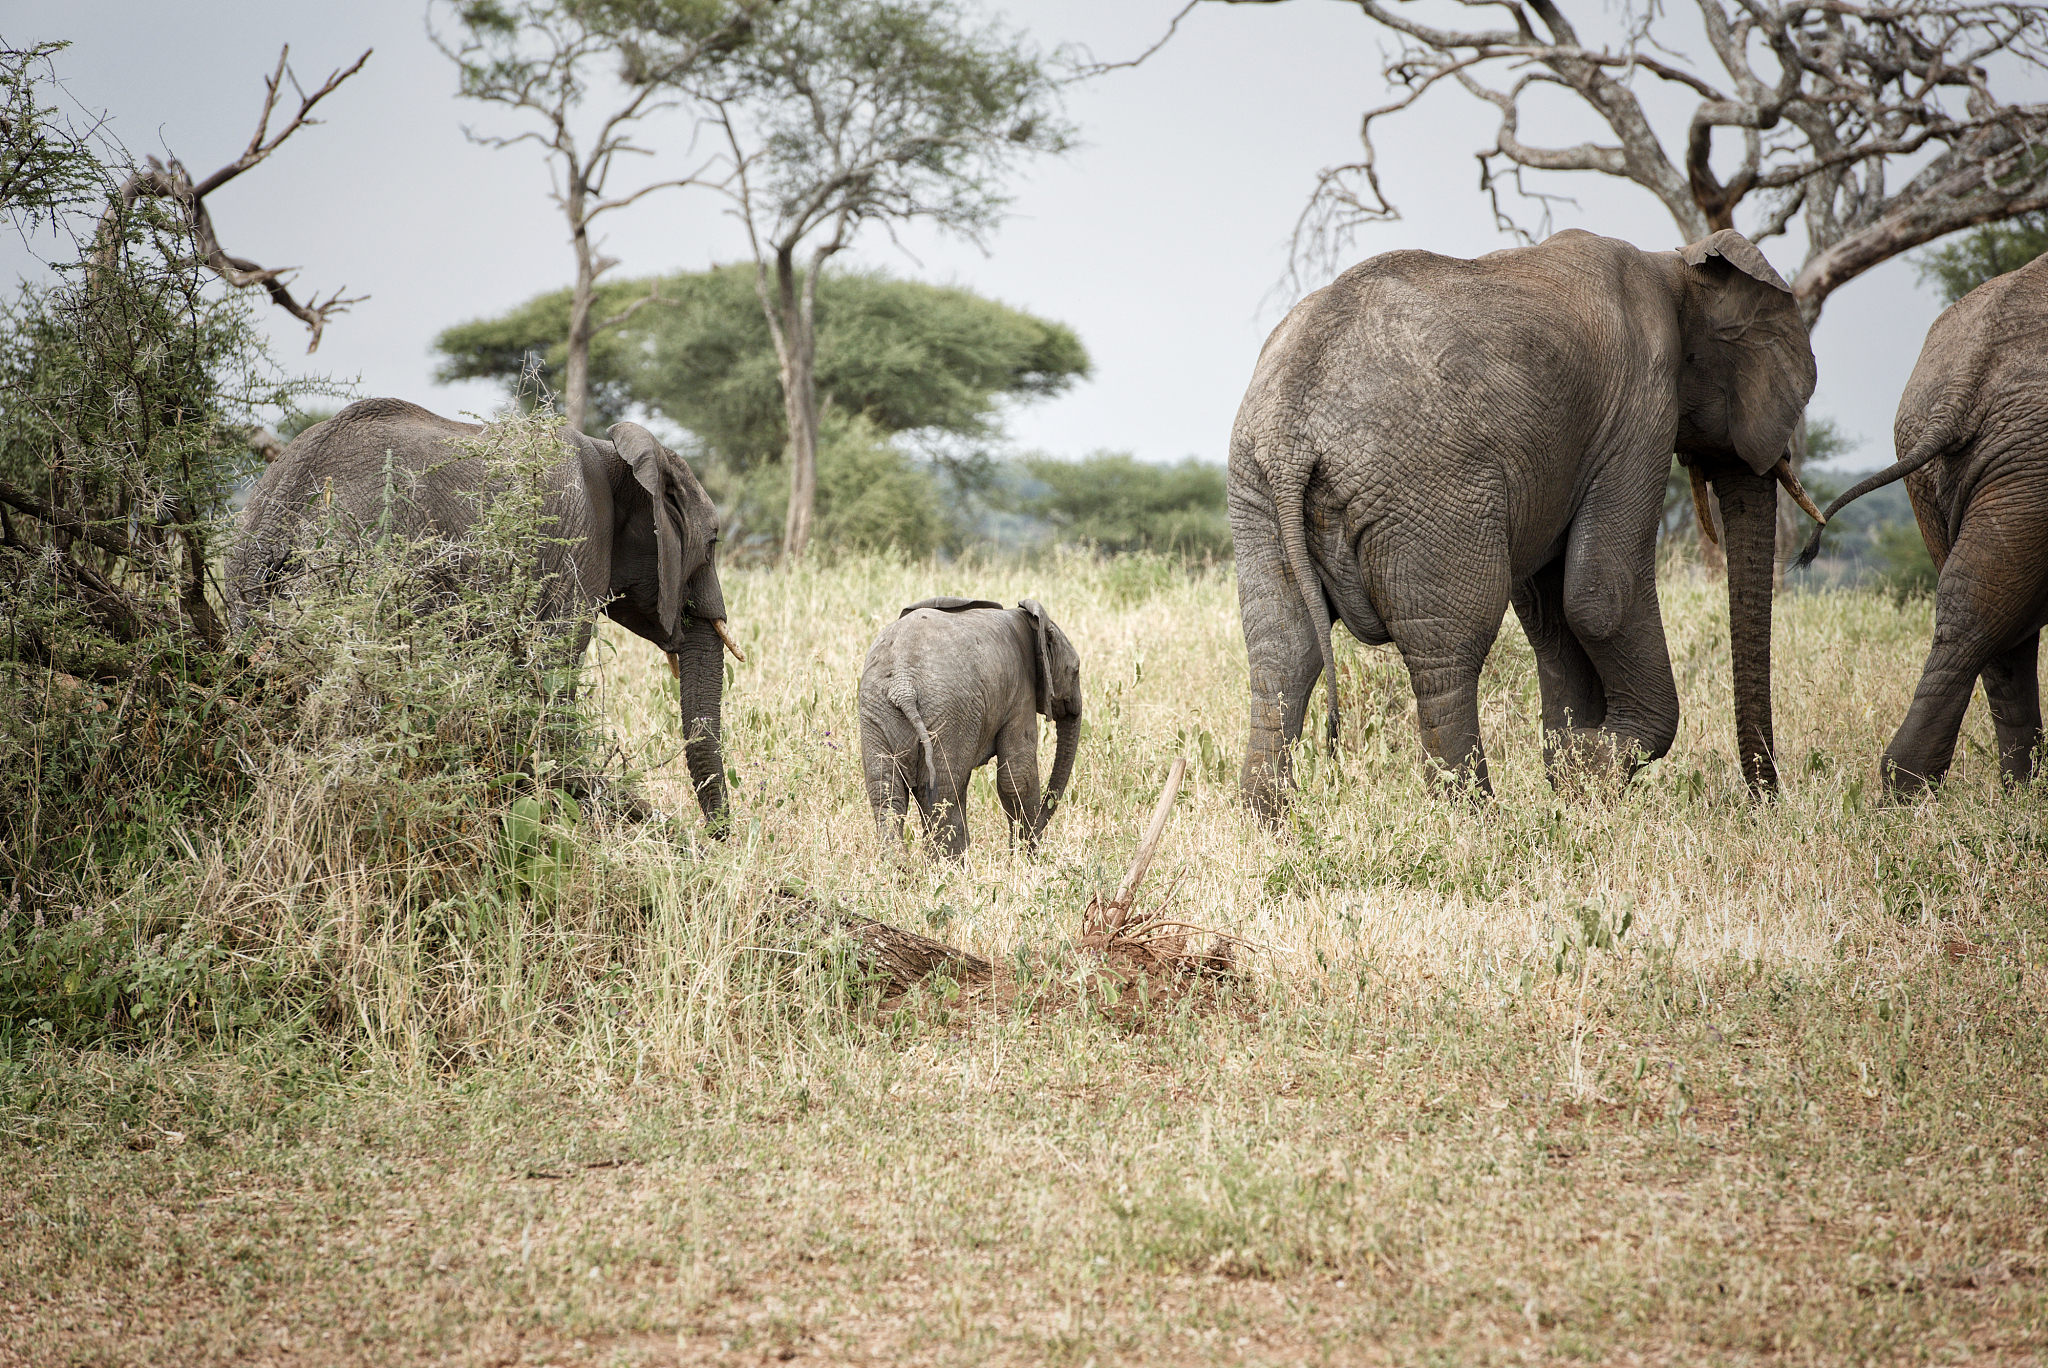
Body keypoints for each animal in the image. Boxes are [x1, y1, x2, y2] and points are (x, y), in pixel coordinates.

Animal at [858, 597, 1082, 857]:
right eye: (1075, 670)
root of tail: (902, 686)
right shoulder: (1020, 696)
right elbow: (1018, 777)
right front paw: (1028, 860)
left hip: (876, 713)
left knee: (887, 793)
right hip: (948, 713)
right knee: (942, 792)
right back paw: (946, 867)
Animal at [1230, 228, 1821, 817]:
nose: (1764, 803)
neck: (1674, 267)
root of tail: (1290, 434)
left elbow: (1550, 613)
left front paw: (1574, 781)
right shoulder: (1642, 408)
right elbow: (1600, 596)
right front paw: (1592, 765)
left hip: (1254, 492)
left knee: (1283, 652)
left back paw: (1270, 821)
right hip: (1428, 486)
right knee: (1448, 653)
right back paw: (1472, 821)